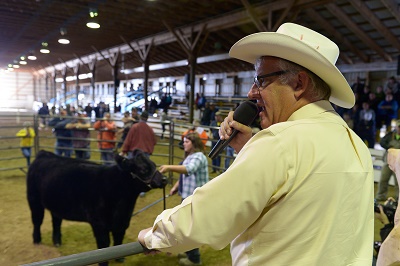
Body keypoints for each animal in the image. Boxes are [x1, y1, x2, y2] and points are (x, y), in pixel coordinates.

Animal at [27, 150, 166, 264]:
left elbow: (118, 239)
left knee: (56, 220)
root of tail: (44, 154)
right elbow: (104, 247)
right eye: (143, 169)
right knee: (37, 220)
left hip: (56, 204)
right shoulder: (99, 224)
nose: (164, 179)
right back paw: (37, 241)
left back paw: (57, 242)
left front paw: (120, 258)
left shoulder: (122, 222)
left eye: (154, 165)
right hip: (34, 200)